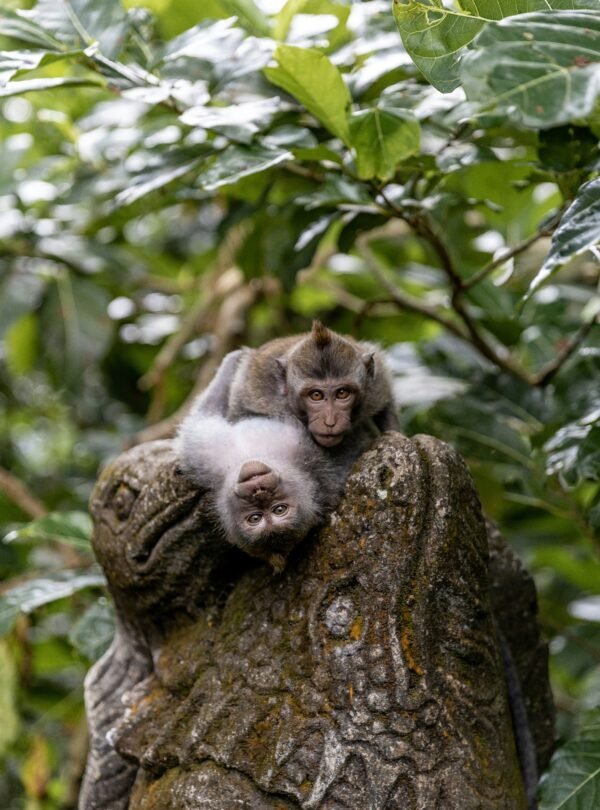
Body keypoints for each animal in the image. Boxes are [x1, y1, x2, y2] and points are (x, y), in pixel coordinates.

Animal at [176, 351, 343, 572]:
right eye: (255, 518)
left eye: (279, 510)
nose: (259, 491)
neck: (247, 456)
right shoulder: (202, 458)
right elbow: (204, 412)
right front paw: (234, 359)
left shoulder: (312, 460)